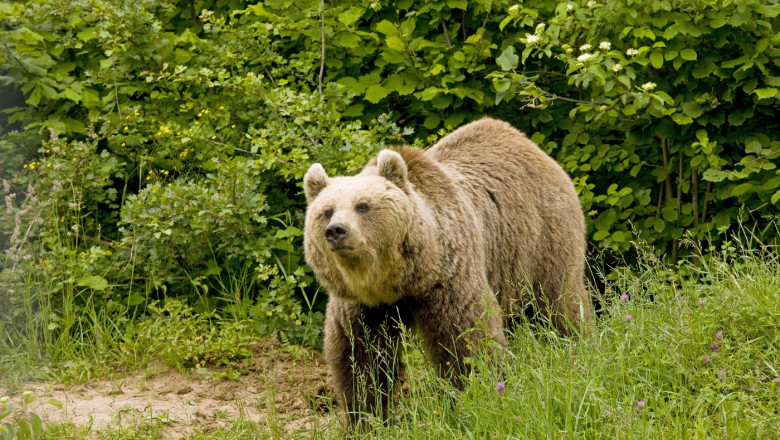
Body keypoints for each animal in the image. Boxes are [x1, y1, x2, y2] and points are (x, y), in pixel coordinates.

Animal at [302, 117, 588, 426]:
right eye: (326, 211)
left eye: (363, 205)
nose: (336, 231)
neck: (396, 279)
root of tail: (528, 143)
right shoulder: (361, 306)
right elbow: (360, 357)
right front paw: (366, 418)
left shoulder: (448, 277)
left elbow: (466, 339)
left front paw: (477, 399)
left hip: (543, 236)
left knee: (560, 301)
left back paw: (577, 348)